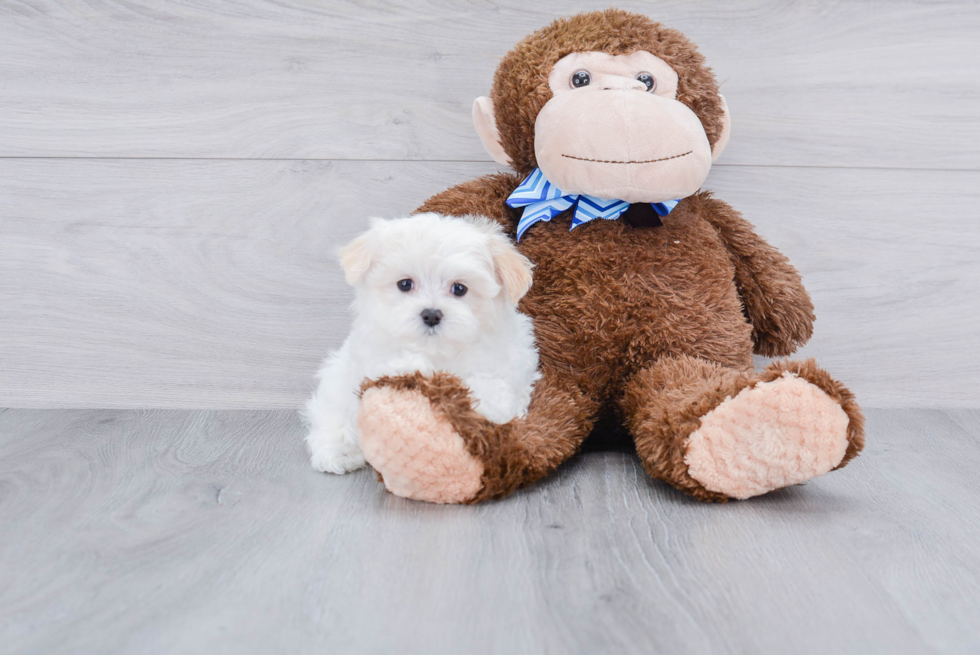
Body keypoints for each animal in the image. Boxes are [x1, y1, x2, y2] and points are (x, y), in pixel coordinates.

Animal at [302, 213, 540, 474]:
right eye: (405, 284)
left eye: (459, 288)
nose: (431, 315)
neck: (437, 350)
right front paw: (412, 369)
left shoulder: (508, 364)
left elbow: (492, 390)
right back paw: (339, 451)